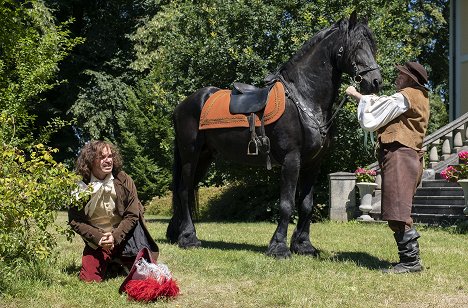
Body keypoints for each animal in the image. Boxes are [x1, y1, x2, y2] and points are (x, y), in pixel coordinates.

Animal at [166, 12, 382, 258]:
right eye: (357, 45)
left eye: (372, 45)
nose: (375, 81)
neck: (305, 99)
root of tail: (183, 105)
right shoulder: (291, 160)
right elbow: (287, 204)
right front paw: (279, 247)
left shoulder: (313, 164)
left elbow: (306, 204)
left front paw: (303, 246)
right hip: (190, 155)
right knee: (184, 191)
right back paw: (189, 238)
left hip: (204, 157)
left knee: (187, 190)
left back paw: (177, 233)